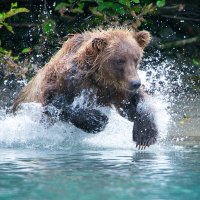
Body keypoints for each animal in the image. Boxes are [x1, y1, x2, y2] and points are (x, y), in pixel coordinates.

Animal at [13, 28, 159, 150]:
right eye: (119, 60)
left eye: (136, 58)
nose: (136, 83)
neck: (98, 76)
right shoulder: (66, 80)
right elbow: (54, 104)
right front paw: (97, 119)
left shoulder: (116, 88)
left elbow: (133, 104)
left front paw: (145, 135)